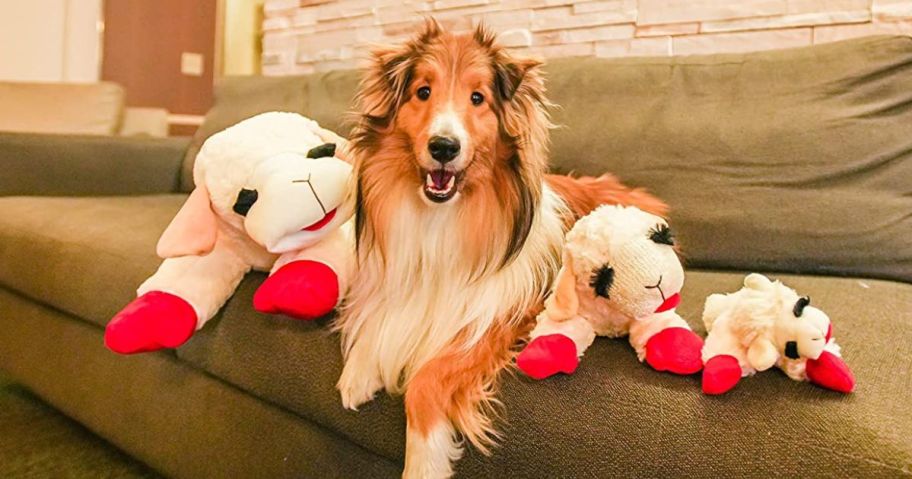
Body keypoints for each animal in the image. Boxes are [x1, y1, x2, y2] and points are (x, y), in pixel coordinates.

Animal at [334, 19, 664, 479]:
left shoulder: (497, 317)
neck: (442, 218)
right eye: (423, 91)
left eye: (478, 98)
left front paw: (424, 460)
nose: (444, 147)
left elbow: (425, 379)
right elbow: (379, 317)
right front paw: (359, 371)